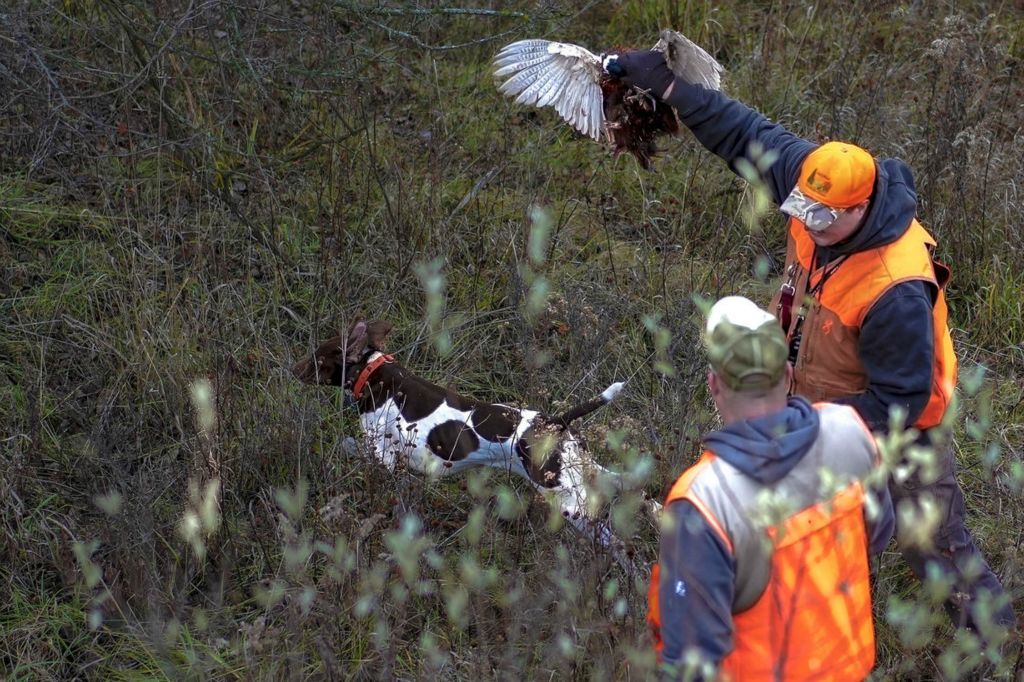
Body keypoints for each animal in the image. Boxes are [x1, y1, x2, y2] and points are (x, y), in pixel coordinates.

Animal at [292, 319, 651, 561]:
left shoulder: (382, 455)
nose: (293, 370)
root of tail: (555, 422)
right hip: (589, 477)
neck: (372, 373)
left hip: (569, 503)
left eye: (317, 357)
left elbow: (352, 447)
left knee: (619, 543)